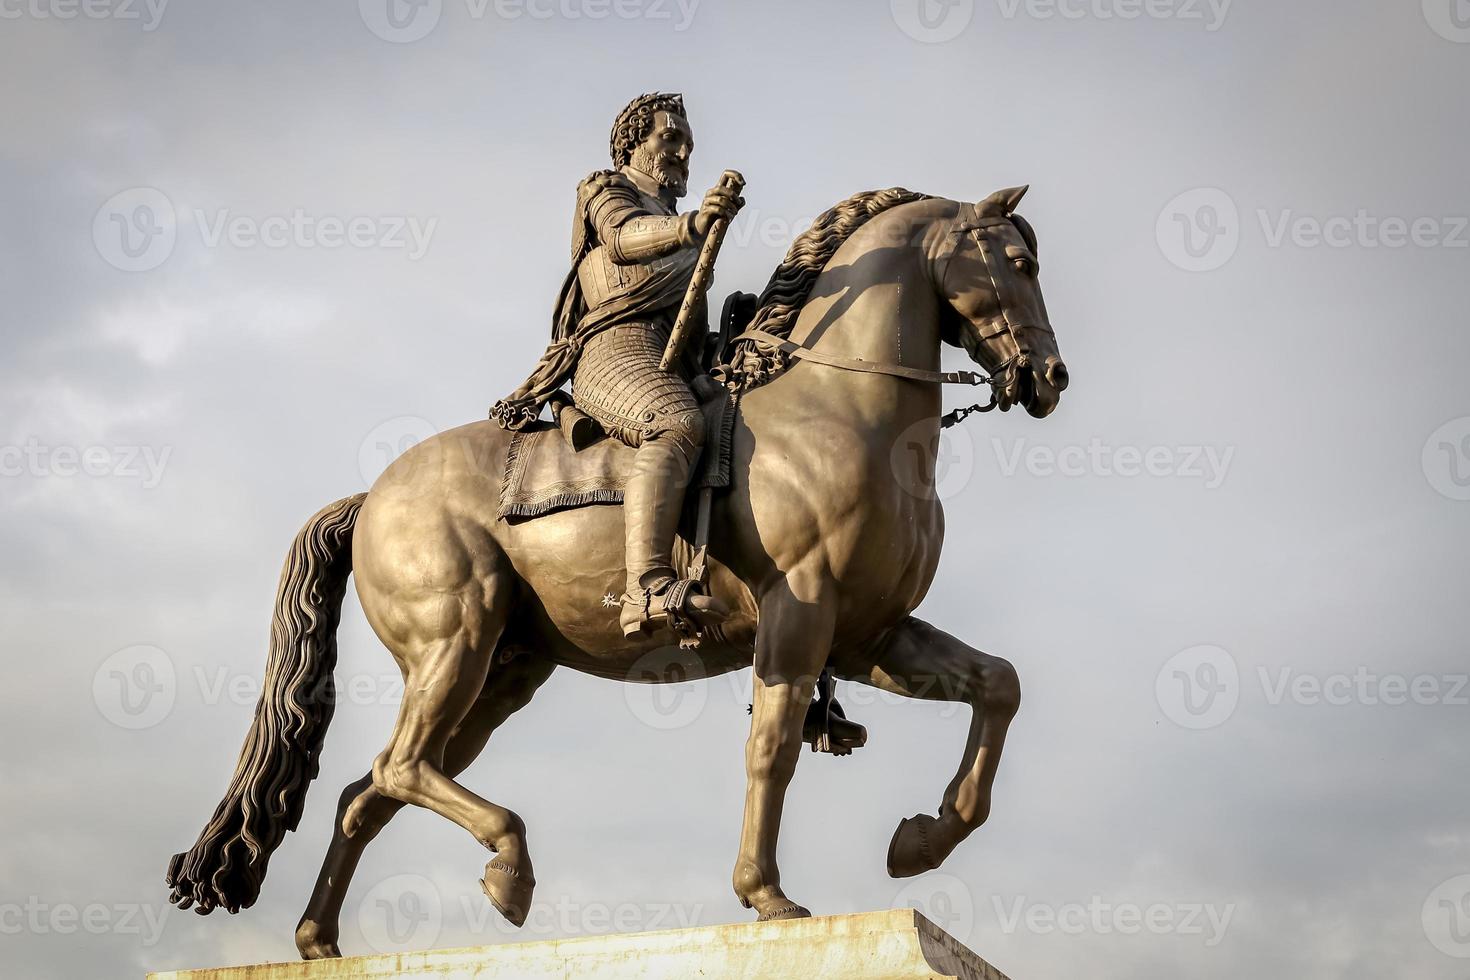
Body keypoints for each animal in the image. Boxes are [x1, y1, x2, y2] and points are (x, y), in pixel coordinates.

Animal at [166, 183, 1070, 957]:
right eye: (1017, 263)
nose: (1050, 378)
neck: (842, 411)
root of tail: (373, 496)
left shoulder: (867, 634)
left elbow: (998, 685)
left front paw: (921, 842)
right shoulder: (801, 614)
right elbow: (771, 749)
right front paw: (767, 895)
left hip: (503, 674)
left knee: (367, 794)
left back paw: (319, 941)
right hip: (455, 641)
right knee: (398, 767)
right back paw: (509, 870)